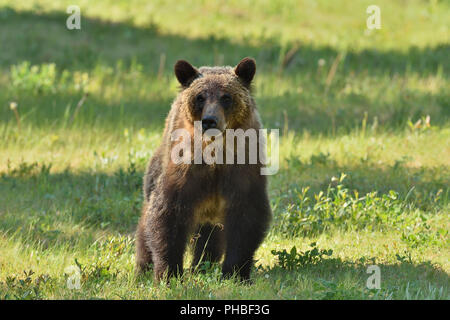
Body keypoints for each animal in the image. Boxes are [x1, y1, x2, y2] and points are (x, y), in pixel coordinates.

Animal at [135, 57, 270, 282]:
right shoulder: (184, 171)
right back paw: (143, 268)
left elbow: (246, 218)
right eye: (200, 97)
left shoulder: (243, 170)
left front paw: (235, 273)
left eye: (226, 97)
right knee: (145, 225)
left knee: (210, 240)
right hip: (154, 174)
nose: (209, 120)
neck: (215, 154)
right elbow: (167, 215)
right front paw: (169, 273)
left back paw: (202, 266)